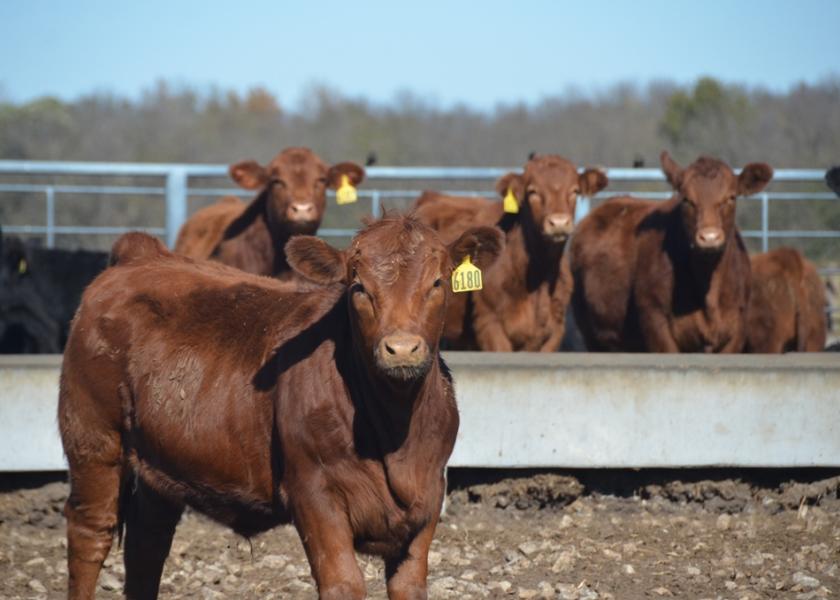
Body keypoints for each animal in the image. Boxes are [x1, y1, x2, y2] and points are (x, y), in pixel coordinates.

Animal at [60, 217, 506, 600]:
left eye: (437, 282)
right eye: (358, 287)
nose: (401, 349)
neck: (396, 435)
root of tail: (140, 255)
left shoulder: (428, 499)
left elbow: (409, 586)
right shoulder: (315, 494)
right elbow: (343, 583)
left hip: (160, 464)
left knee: (147, 545)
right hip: (93, 438)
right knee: (91, 532)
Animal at [572, 152, 776, 354]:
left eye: (731, 197)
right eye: (686, 199)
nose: (709, 237)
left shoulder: (737, 330)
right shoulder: (655, 322)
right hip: (594, 336)